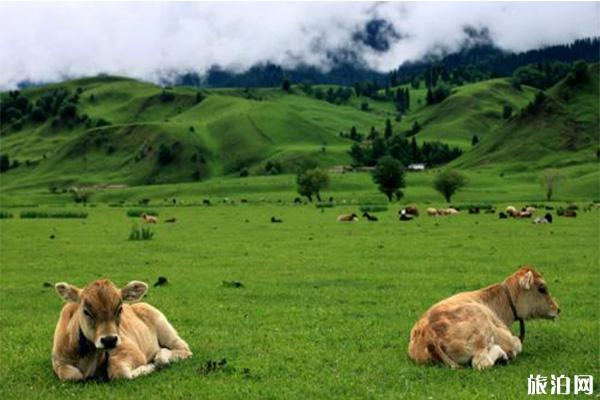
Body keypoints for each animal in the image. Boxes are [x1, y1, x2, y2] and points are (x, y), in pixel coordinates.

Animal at [53, 278, 191, 382]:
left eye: (119, 309)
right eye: (86, 311)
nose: (109, 340)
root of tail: (137, 304)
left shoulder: (134, 352)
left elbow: (119, 371)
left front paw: (150, 367)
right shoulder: (58, 362)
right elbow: (73, 375)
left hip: (164, 328)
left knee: (183, 349)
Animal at [410, 268, 560, 370]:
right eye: (542, 289)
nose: (558, 309)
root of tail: (429, 333)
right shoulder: (507, 338)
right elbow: (517, 343)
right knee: (481, 363)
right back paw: (502, 355)